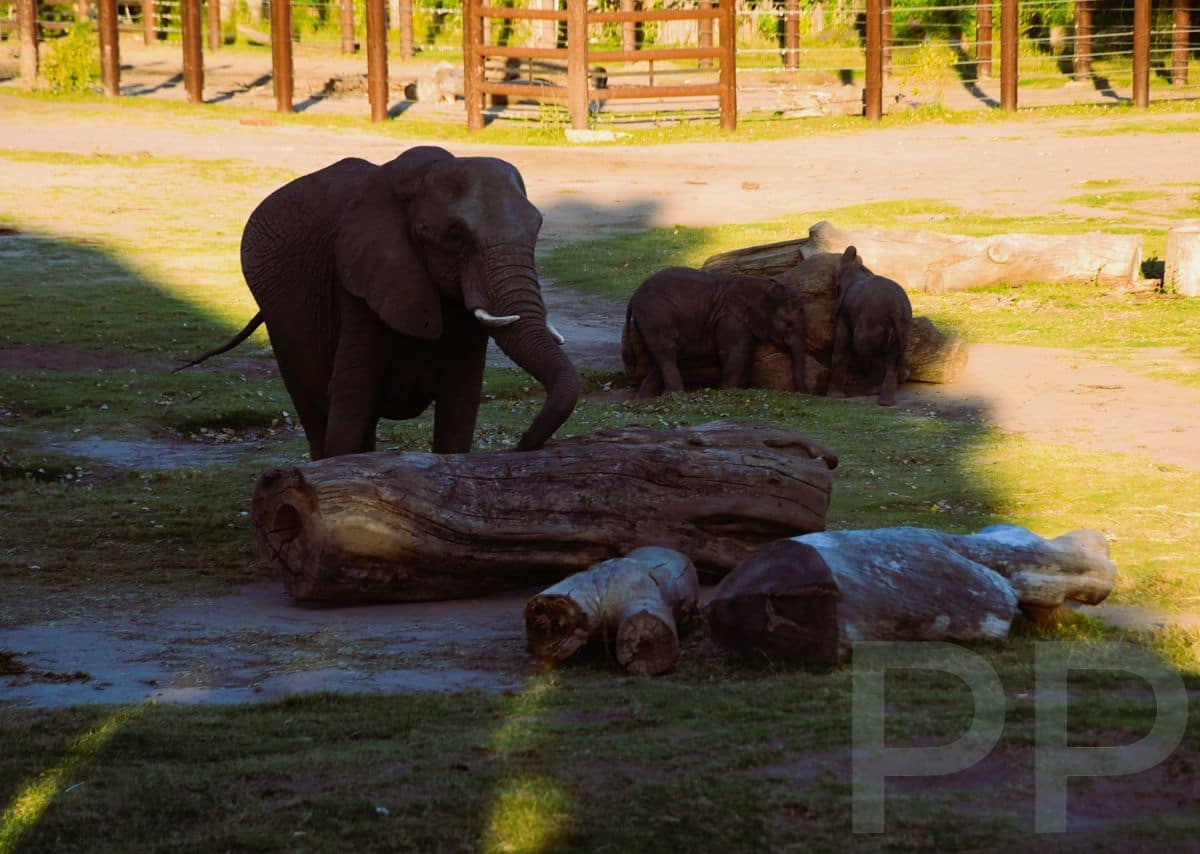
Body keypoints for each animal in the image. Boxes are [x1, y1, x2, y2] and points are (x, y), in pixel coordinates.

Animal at [177, 146, 580, 459]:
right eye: (454, 237)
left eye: (538, 228)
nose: (521, 445)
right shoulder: (357, 279)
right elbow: (351, 396)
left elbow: (461, 402)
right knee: (314, 404)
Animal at [623, 266, 808, 398]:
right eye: (789, 324)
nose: (802, 394)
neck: (762, 287)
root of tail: (633, 296)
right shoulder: (730, 318)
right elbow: (735, 351)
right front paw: (730, 391)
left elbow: (746, 351)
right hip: (656, 316)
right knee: (667, 352)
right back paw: (676, 396)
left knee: (664, 356)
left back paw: (644, 399)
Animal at [827, 245, 913, 406]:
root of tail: (896, 306)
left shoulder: (844, 311)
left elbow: (841, 344)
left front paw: (834, 397)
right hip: (904, 324)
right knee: (893, 356)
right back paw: (887, 398)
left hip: (872, 319)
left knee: (862, 345)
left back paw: (874, 391)